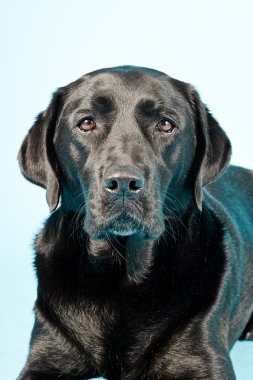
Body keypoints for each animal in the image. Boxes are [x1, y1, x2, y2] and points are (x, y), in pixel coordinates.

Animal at [17, 67, 253, 378]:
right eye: (86, 123)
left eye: (165, 124)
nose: (123, 183)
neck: (121, 277)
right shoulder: (45, 355)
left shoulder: (207, 362)